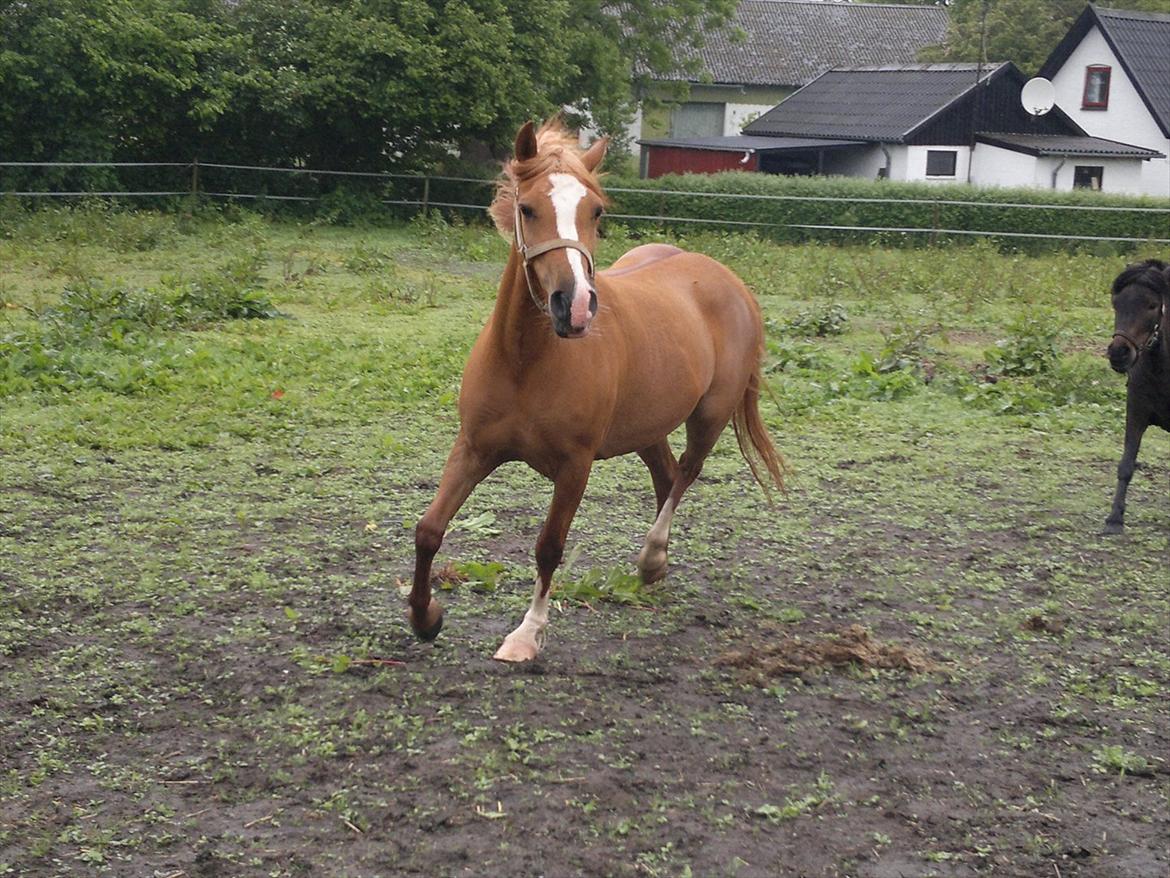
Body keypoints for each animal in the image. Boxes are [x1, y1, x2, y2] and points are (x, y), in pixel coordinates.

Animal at [407, 120, 781, 664]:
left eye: (596, 211)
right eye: (527, 208)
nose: (576, 306)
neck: (525, 362)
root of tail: (727, 280)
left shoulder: (574, 467)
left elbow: (549, 546)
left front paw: (526, 635)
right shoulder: (473, 449)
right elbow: (429, 530)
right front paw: (425, 618)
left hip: (709, 416)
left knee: (687, 474)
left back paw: (652, 558)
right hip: (648, 426)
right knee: (667, 476)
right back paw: (654, 570)